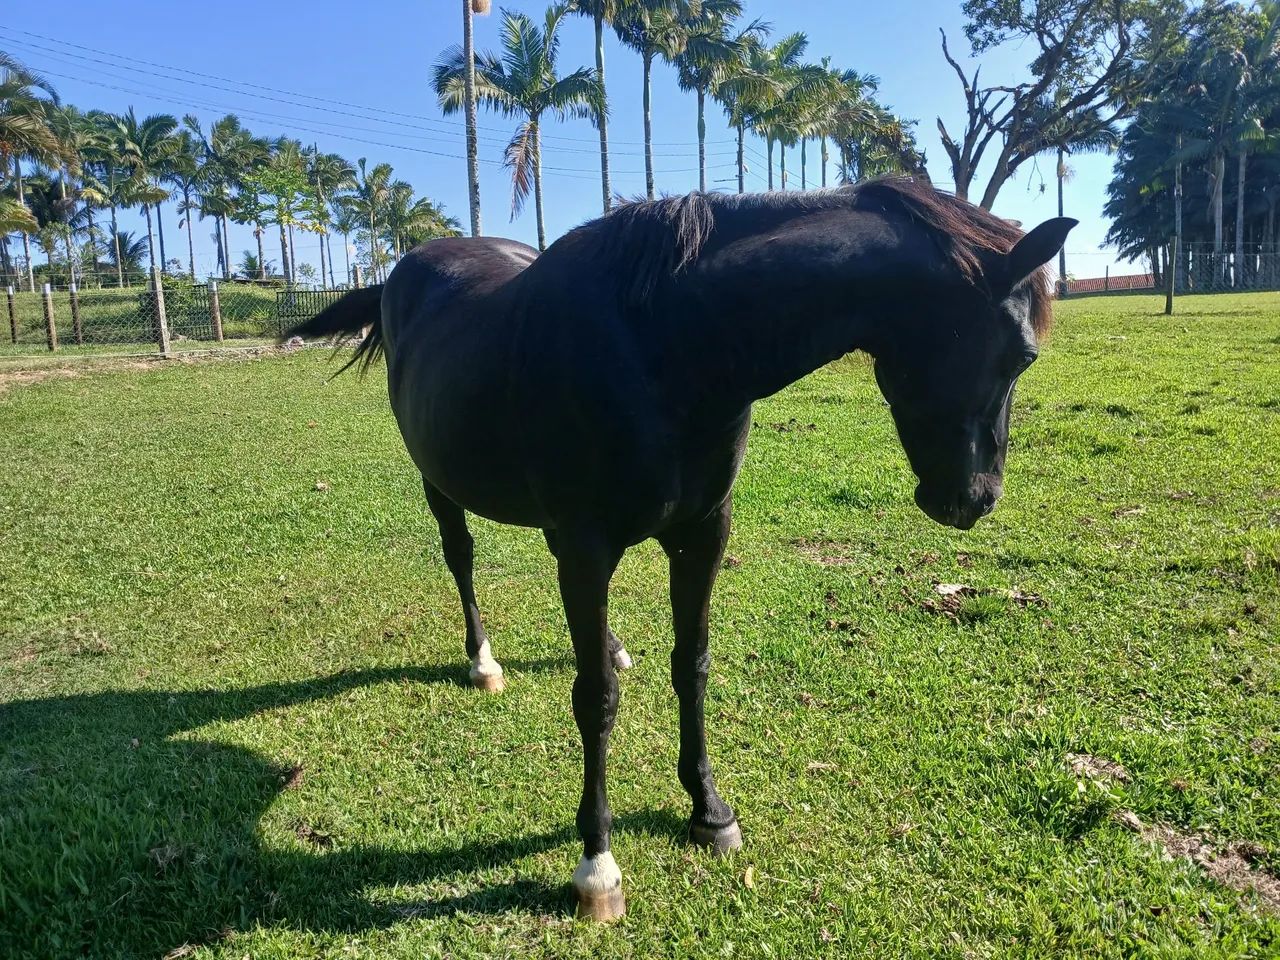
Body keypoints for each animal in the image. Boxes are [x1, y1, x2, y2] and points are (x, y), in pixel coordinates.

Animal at [285, 176, 1074, 921]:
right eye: (1022, 354)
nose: (976, 499)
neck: (664, 346)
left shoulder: (701, 534)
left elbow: (690, 666)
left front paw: (709, 810)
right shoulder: (587, 544)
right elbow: (595, 699)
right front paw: (597, 864)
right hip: (441, 484)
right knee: (462, 558)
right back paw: (483, 662)